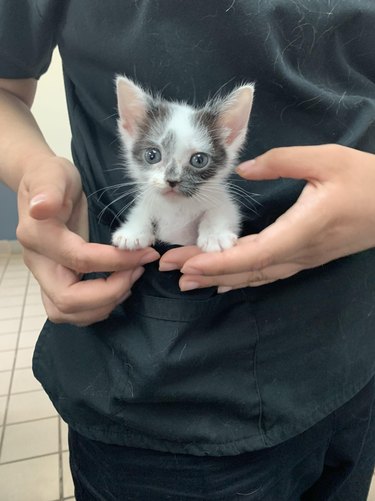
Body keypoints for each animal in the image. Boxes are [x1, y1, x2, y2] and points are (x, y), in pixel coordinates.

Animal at [110, 75, 254, 252]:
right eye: (152, 155)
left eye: (199, 160)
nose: (172, 180)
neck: (177, 209)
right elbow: (143, 209)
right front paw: (133, 231)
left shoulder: (222, 200)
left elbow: (221, 209)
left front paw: (215, 235)